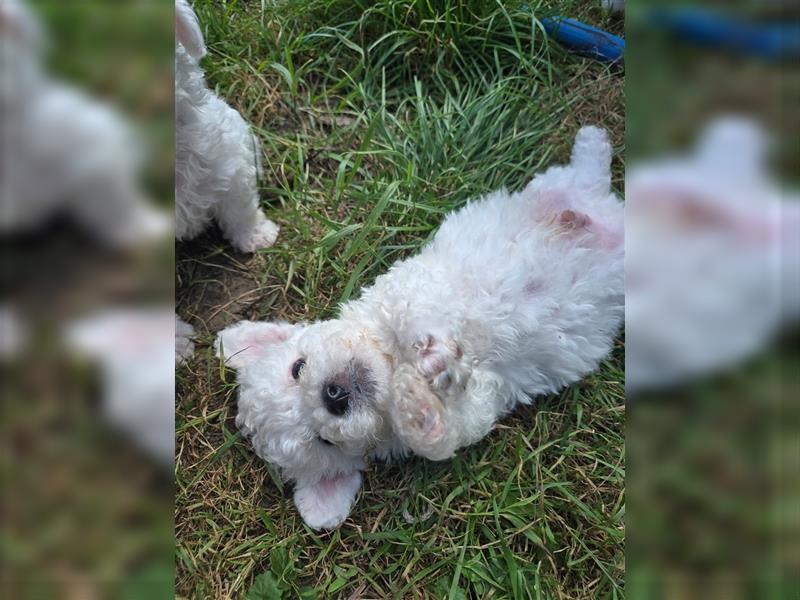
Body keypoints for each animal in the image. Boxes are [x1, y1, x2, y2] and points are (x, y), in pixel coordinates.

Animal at [217, 127, 624, 528]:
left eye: (297, 368)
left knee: (579, 178)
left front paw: (430, 351)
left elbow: (408, 312)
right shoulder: (483, 399)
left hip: (554, 187)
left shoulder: (403, 290)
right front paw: (416, 406)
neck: (393, 363)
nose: (332, 395)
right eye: (324, 442)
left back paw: (592, 144)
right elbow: (447, 435)